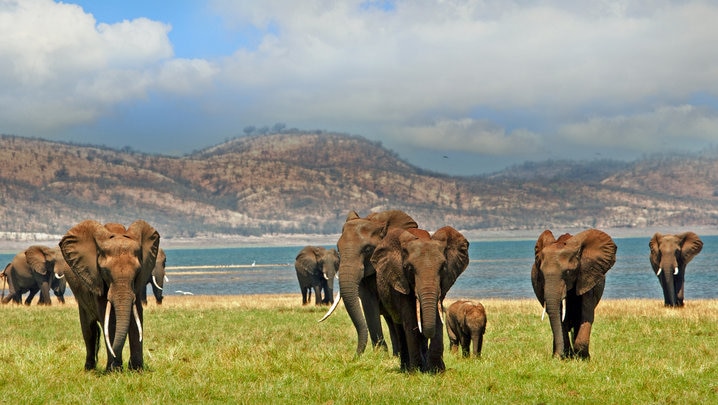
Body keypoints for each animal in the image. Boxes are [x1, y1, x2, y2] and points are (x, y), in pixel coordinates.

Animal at [59, 219, 160, 370]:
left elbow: (137, 316)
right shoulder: (96, 279)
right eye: (105, 271)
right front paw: (114, 370)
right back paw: (89, 369)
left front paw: (136, 370)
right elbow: (109, 319)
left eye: (138, 271)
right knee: (89, 330)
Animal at [372, 226, 472, 370]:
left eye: (443, 267)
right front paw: (415, 370)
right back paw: (406, 368)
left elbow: (436, 317)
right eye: (409, 268)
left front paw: (437, 370)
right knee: (400, 328)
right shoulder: (401, 282)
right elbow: (410, 320)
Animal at [528, 229, 620, 358]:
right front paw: (565, 356)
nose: (558, 356)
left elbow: (586, 314)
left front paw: (583, 358)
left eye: (568, 272)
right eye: (541, 273)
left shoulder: (587, 275)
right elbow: (560, 315)